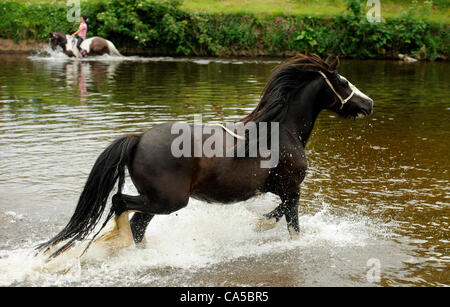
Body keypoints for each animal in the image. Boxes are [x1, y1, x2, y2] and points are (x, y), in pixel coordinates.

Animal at [36, 54, 372, 258]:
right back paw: (121, 243)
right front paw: (263, 228)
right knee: (121, 205)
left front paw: (256, 226)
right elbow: (290, 223)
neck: (280, 131)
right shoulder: (291, 188)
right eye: (343, 82)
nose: (368, 103)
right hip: (168, 200)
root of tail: (138, 139)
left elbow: (278, 214)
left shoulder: (282, 189)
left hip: (158, 200)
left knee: (137, 223)